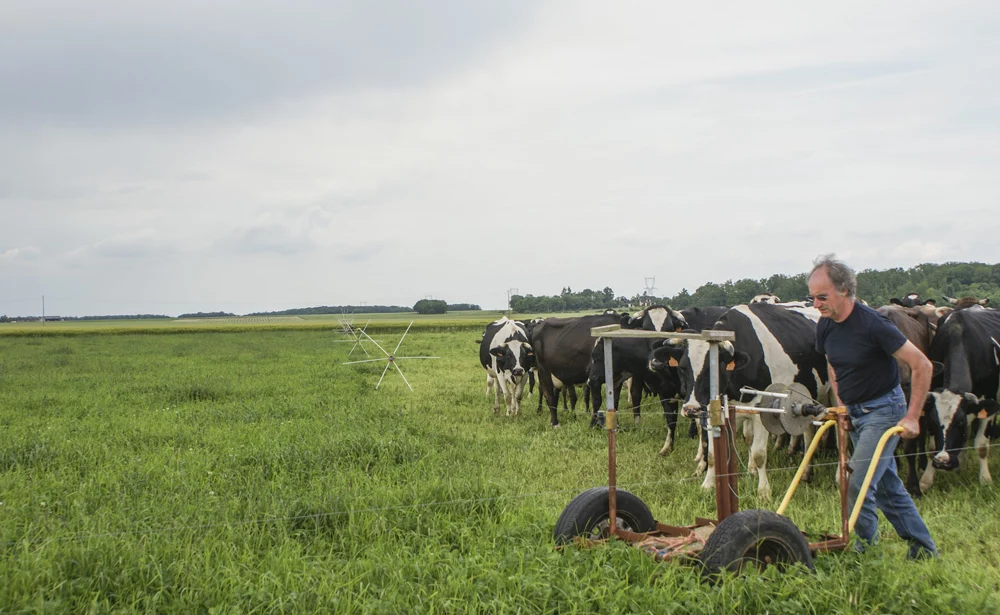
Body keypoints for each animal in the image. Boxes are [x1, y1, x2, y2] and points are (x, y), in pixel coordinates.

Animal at [648, 304, 828, 500]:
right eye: (682, 368)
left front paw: (764, 492)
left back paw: (806, 472)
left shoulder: (761, 413)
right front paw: (707, 485)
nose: (691, 409)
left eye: (714, 368)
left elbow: (759, 454)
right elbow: (712, 455)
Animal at [916, 310, 1000, 494]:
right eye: (932, 422)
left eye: (959, 423)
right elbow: (932, 447)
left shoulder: (989, 403)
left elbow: (982, 446)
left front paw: (985, 480)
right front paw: (926, 481)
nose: (943, 461)